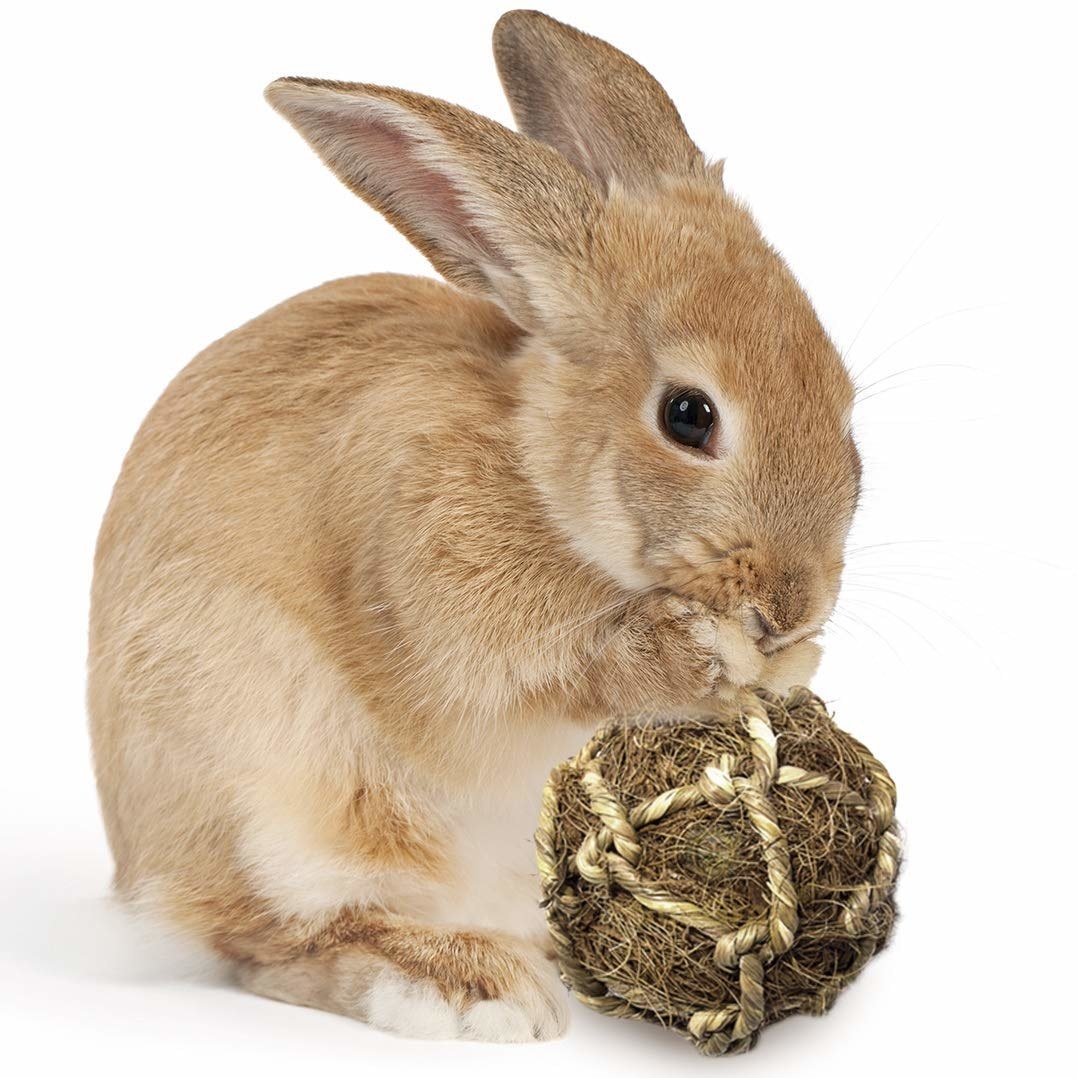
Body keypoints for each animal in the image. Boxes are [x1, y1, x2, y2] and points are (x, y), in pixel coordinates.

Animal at [86, 8, 858, 1043]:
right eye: (688, 417)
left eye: (842, 397)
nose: (791, 606)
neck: (542, 477)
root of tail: (140, 869)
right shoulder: (440, 600)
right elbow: (545, 673)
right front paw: (700, 655)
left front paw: (786, 667)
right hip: (272, 793)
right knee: (275, 943)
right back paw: (468, 985)